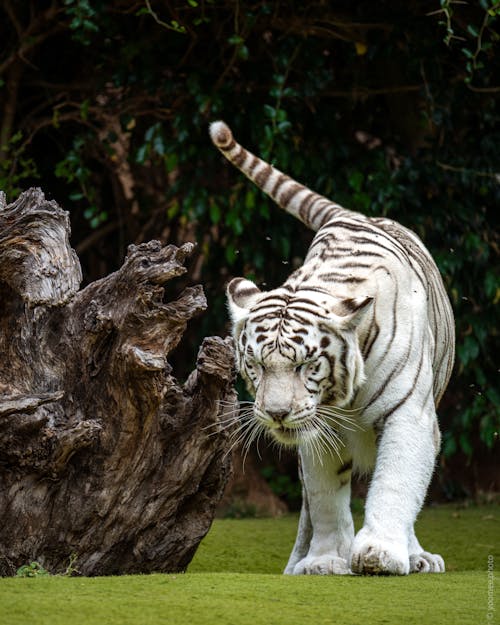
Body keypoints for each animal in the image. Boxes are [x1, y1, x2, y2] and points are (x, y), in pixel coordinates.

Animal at [209, 120, 456, 576]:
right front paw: (324, 560)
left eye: (306, 365)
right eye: (256, 365)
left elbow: (397, 483)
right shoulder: (315, 429)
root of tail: (352, 214)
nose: (276, 413)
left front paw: (378, 554)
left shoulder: (409, 414)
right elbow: (324, 498)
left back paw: (417, 556)